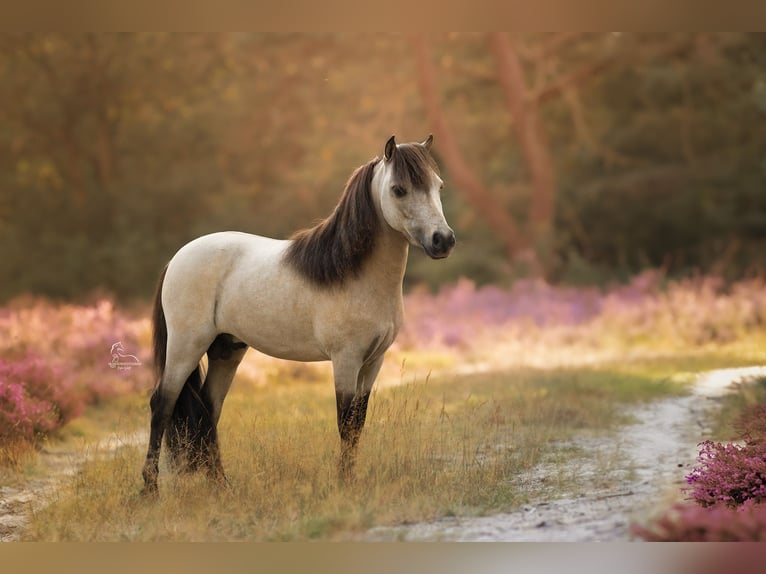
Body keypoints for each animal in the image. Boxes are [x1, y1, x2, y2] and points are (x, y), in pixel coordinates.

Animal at [142, 134, 456, 496]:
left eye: (438, 185)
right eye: (399, 189)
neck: (352, 272)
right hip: (186, 346)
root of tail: (176, 259)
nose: (443, 240)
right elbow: (345, 422)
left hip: (226, 349)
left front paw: (351, 481)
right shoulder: (346, 359)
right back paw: (150, 491)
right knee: (162, 405)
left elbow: (358, 423)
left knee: (209, 409)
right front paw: (344, 484)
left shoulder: (373, 361)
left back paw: (222, 486)